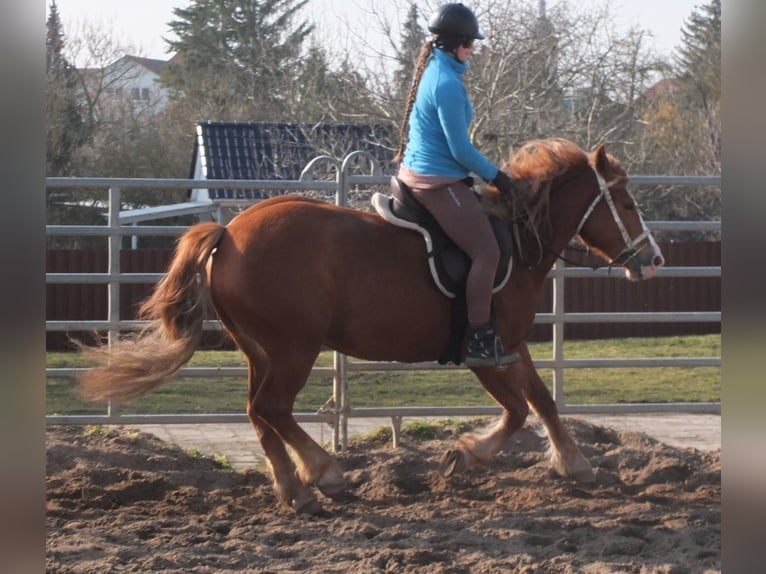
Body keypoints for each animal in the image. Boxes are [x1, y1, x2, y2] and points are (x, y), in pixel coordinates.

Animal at [76, 140, 664, 516]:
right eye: (627, 202)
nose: (652, 259)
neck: (516, 241)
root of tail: (230, 231)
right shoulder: (484, 350)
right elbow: (518, 410)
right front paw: (466, 454)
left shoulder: (512, 345)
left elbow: (542, 400)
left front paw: (575, 463)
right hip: (294, 348)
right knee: (272, 408)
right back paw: (324, 474)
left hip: (260, 351)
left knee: (258, 412)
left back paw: (294, 489)